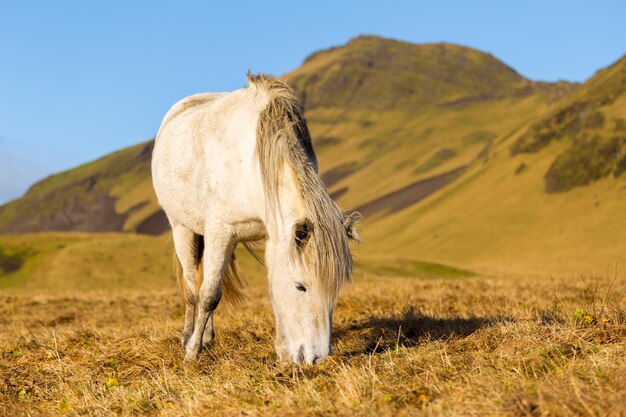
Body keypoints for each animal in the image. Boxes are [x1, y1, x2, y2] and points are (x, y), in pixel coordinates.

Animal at [151, 73, 358, 362]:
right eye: (301, 287)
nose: (317, 359)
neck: (253, 163)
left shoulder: (273, 236)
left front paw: (282, 350)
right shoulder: (220, 232)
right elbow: (209, 295)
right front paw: (192, 352)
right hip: (182, 228)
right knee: (193, 287)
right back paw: (188, 337)